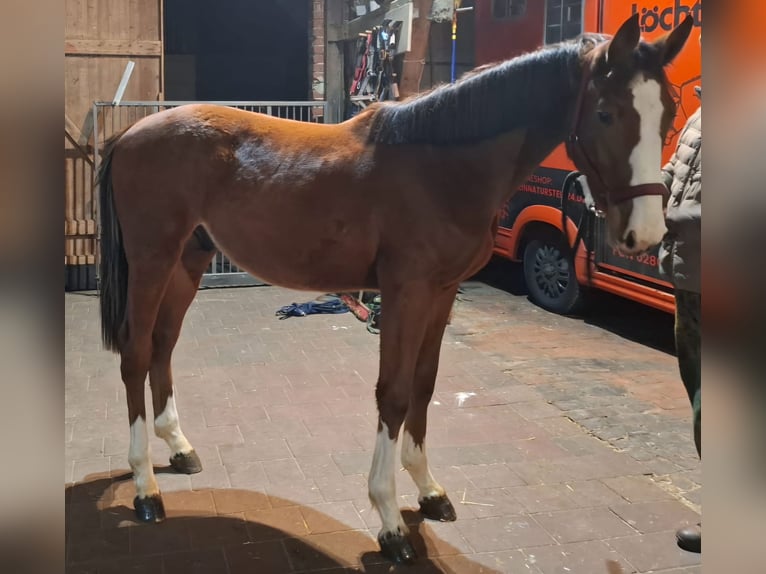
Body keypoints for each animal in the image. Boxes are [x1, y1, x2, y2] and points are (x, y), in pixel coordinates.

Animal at [96, 14, 696, 568]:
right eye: (605, 112)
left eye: (668, 111)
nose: (646, 233)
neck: (442, 166)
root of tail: (129, 135)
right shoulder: (406, 291)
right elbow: (395, 392)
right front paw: (388, 519)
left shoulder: (442, 292)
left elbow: (424, 386)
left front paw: (428, 491)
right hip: (153, 260)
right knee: (135, 352)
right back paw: (146, 489)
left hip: (189, 260)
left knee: (163, 346)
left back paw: (179, 449)